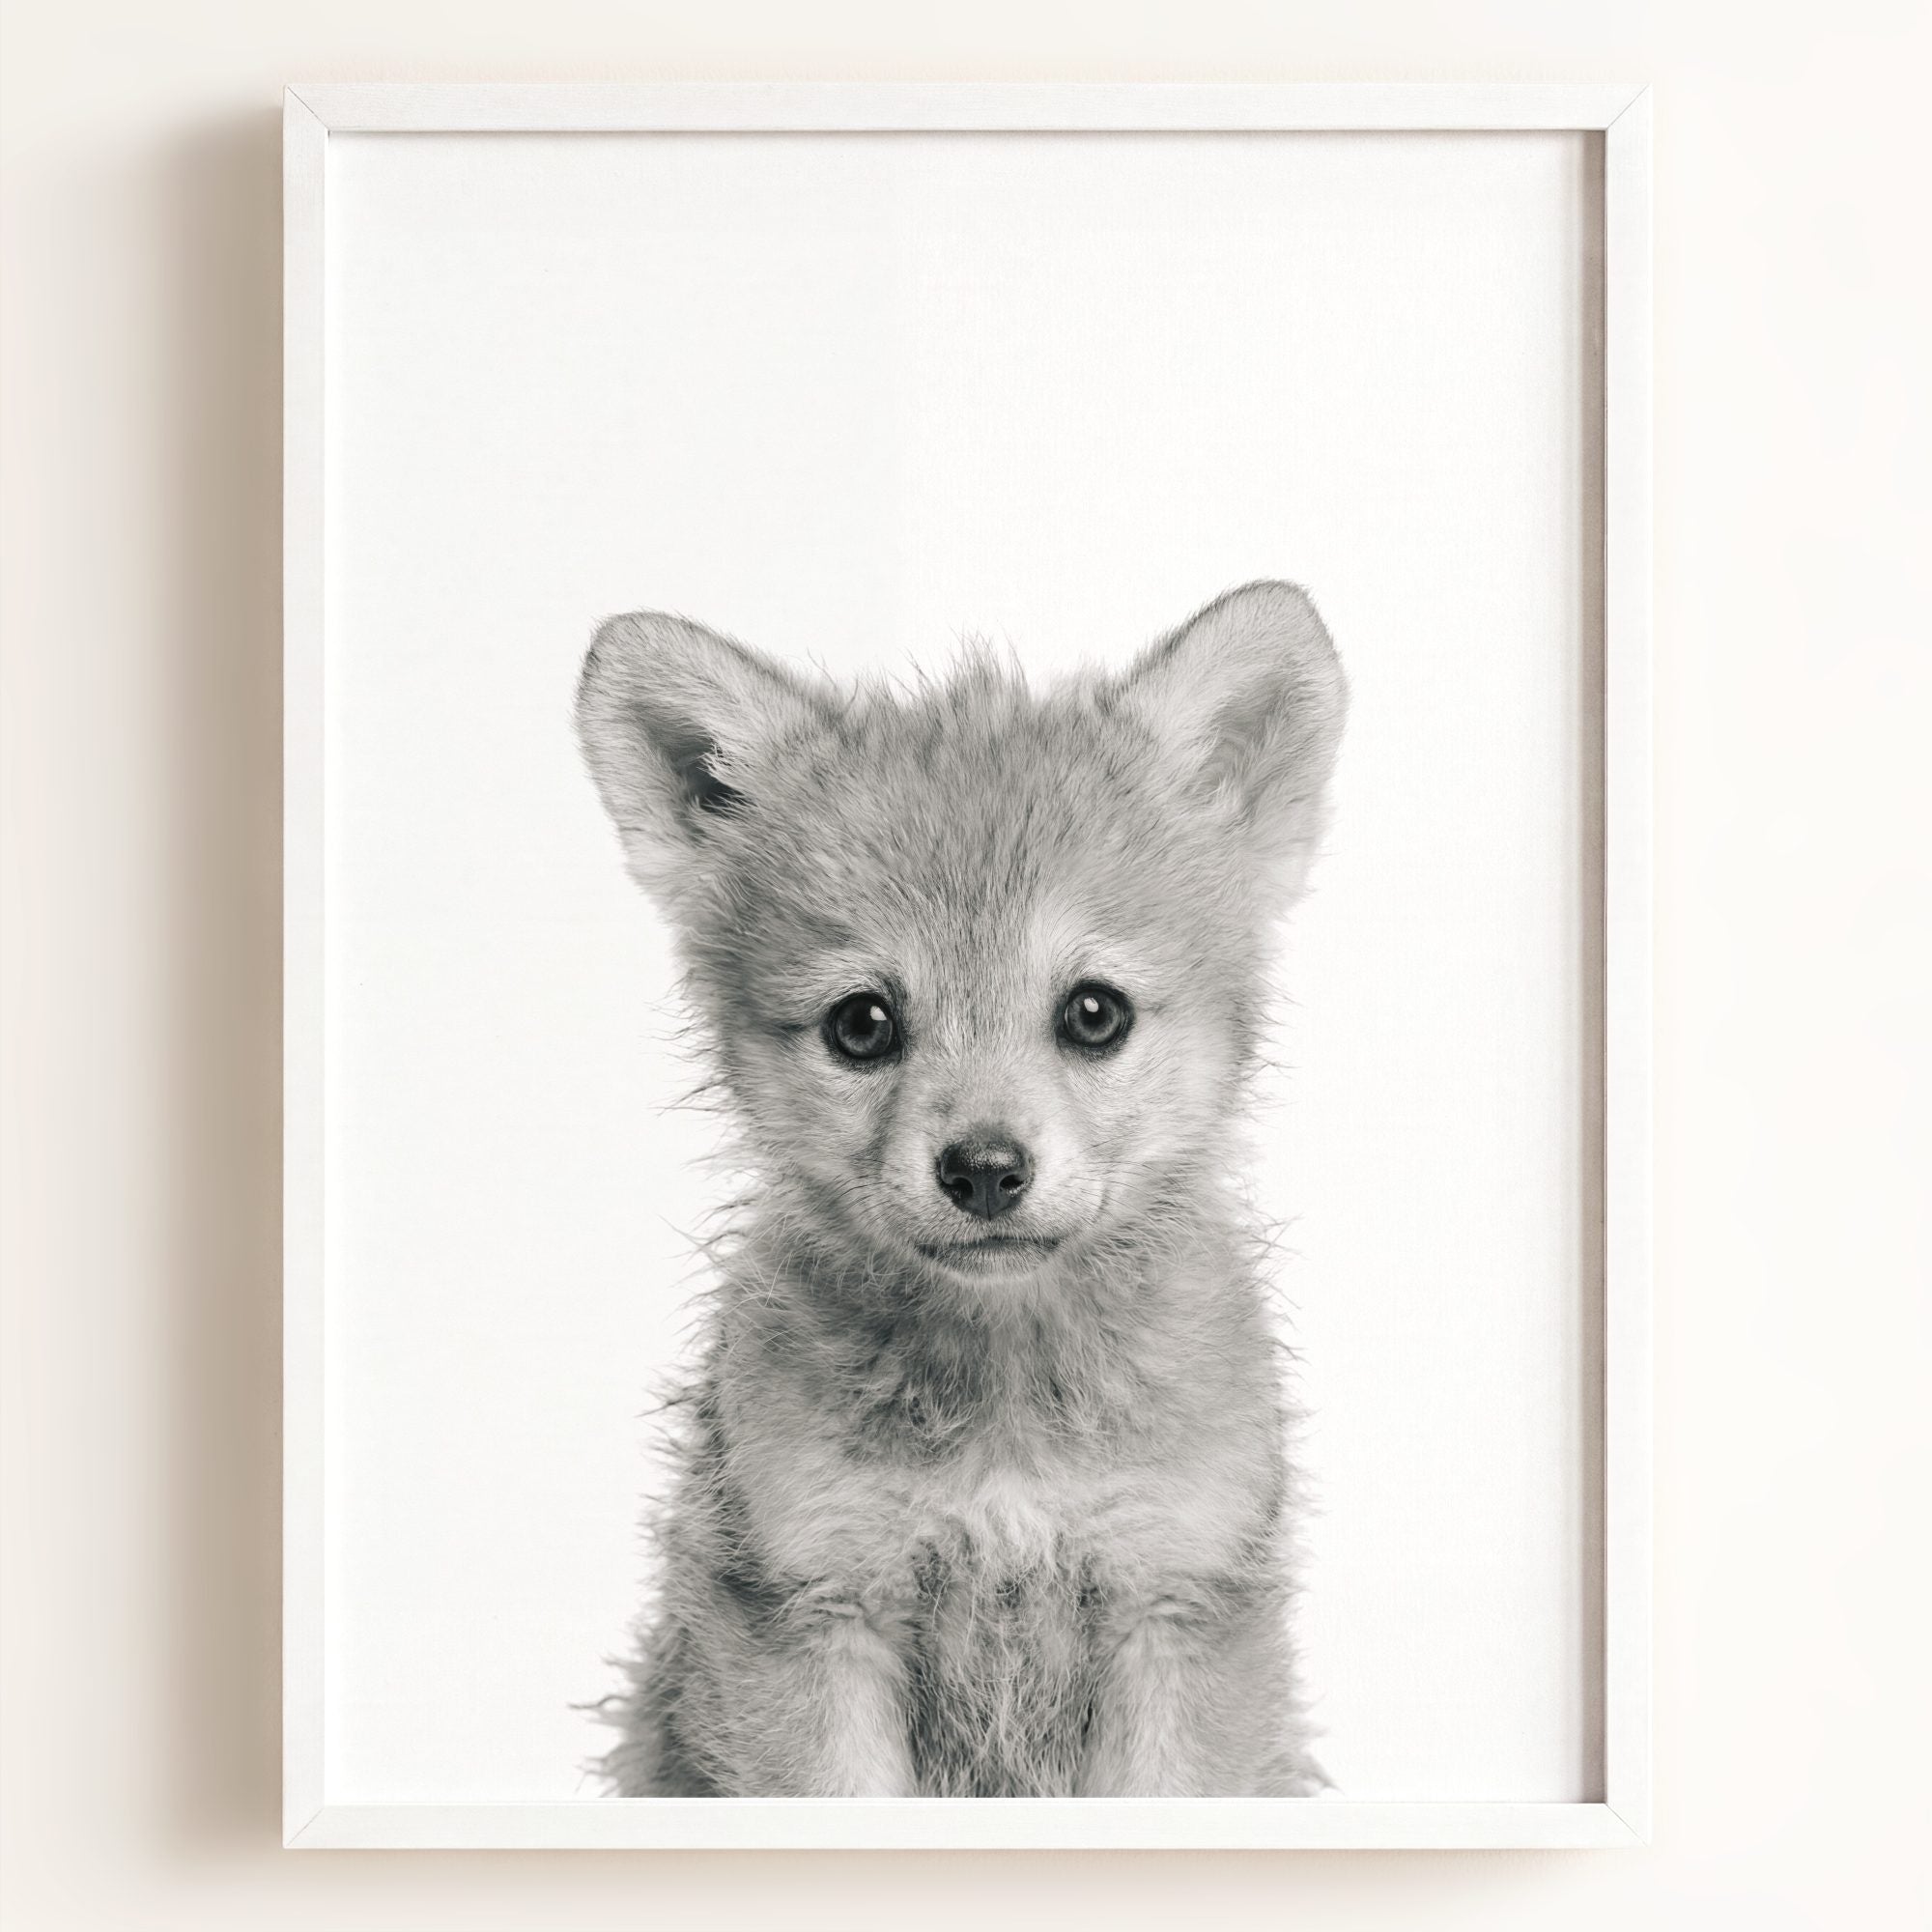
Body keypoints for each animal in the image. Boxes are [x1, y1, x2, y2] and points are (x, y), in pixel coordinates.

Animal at [576, 581, 1347, 1797]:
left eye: (1093, 1011)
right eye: (860, 1022)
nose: (984, 1169)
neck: (1006, 1419)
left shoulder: (1172, 1600)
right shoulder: (811, 1607)